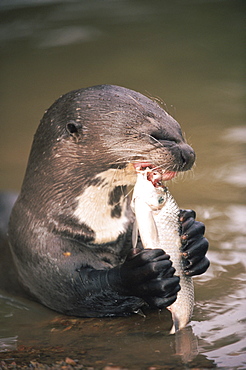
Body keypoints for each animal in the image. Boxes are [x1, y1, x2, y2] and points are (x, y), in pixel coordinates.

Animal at [9, 85, 209, 316]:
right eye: (155, 135)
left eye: (178, 129)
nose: (189, 153)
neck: (100, 228)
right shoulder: (41, 252)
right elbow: (83, 290)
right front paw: (142, 275)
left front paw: (193, 237)